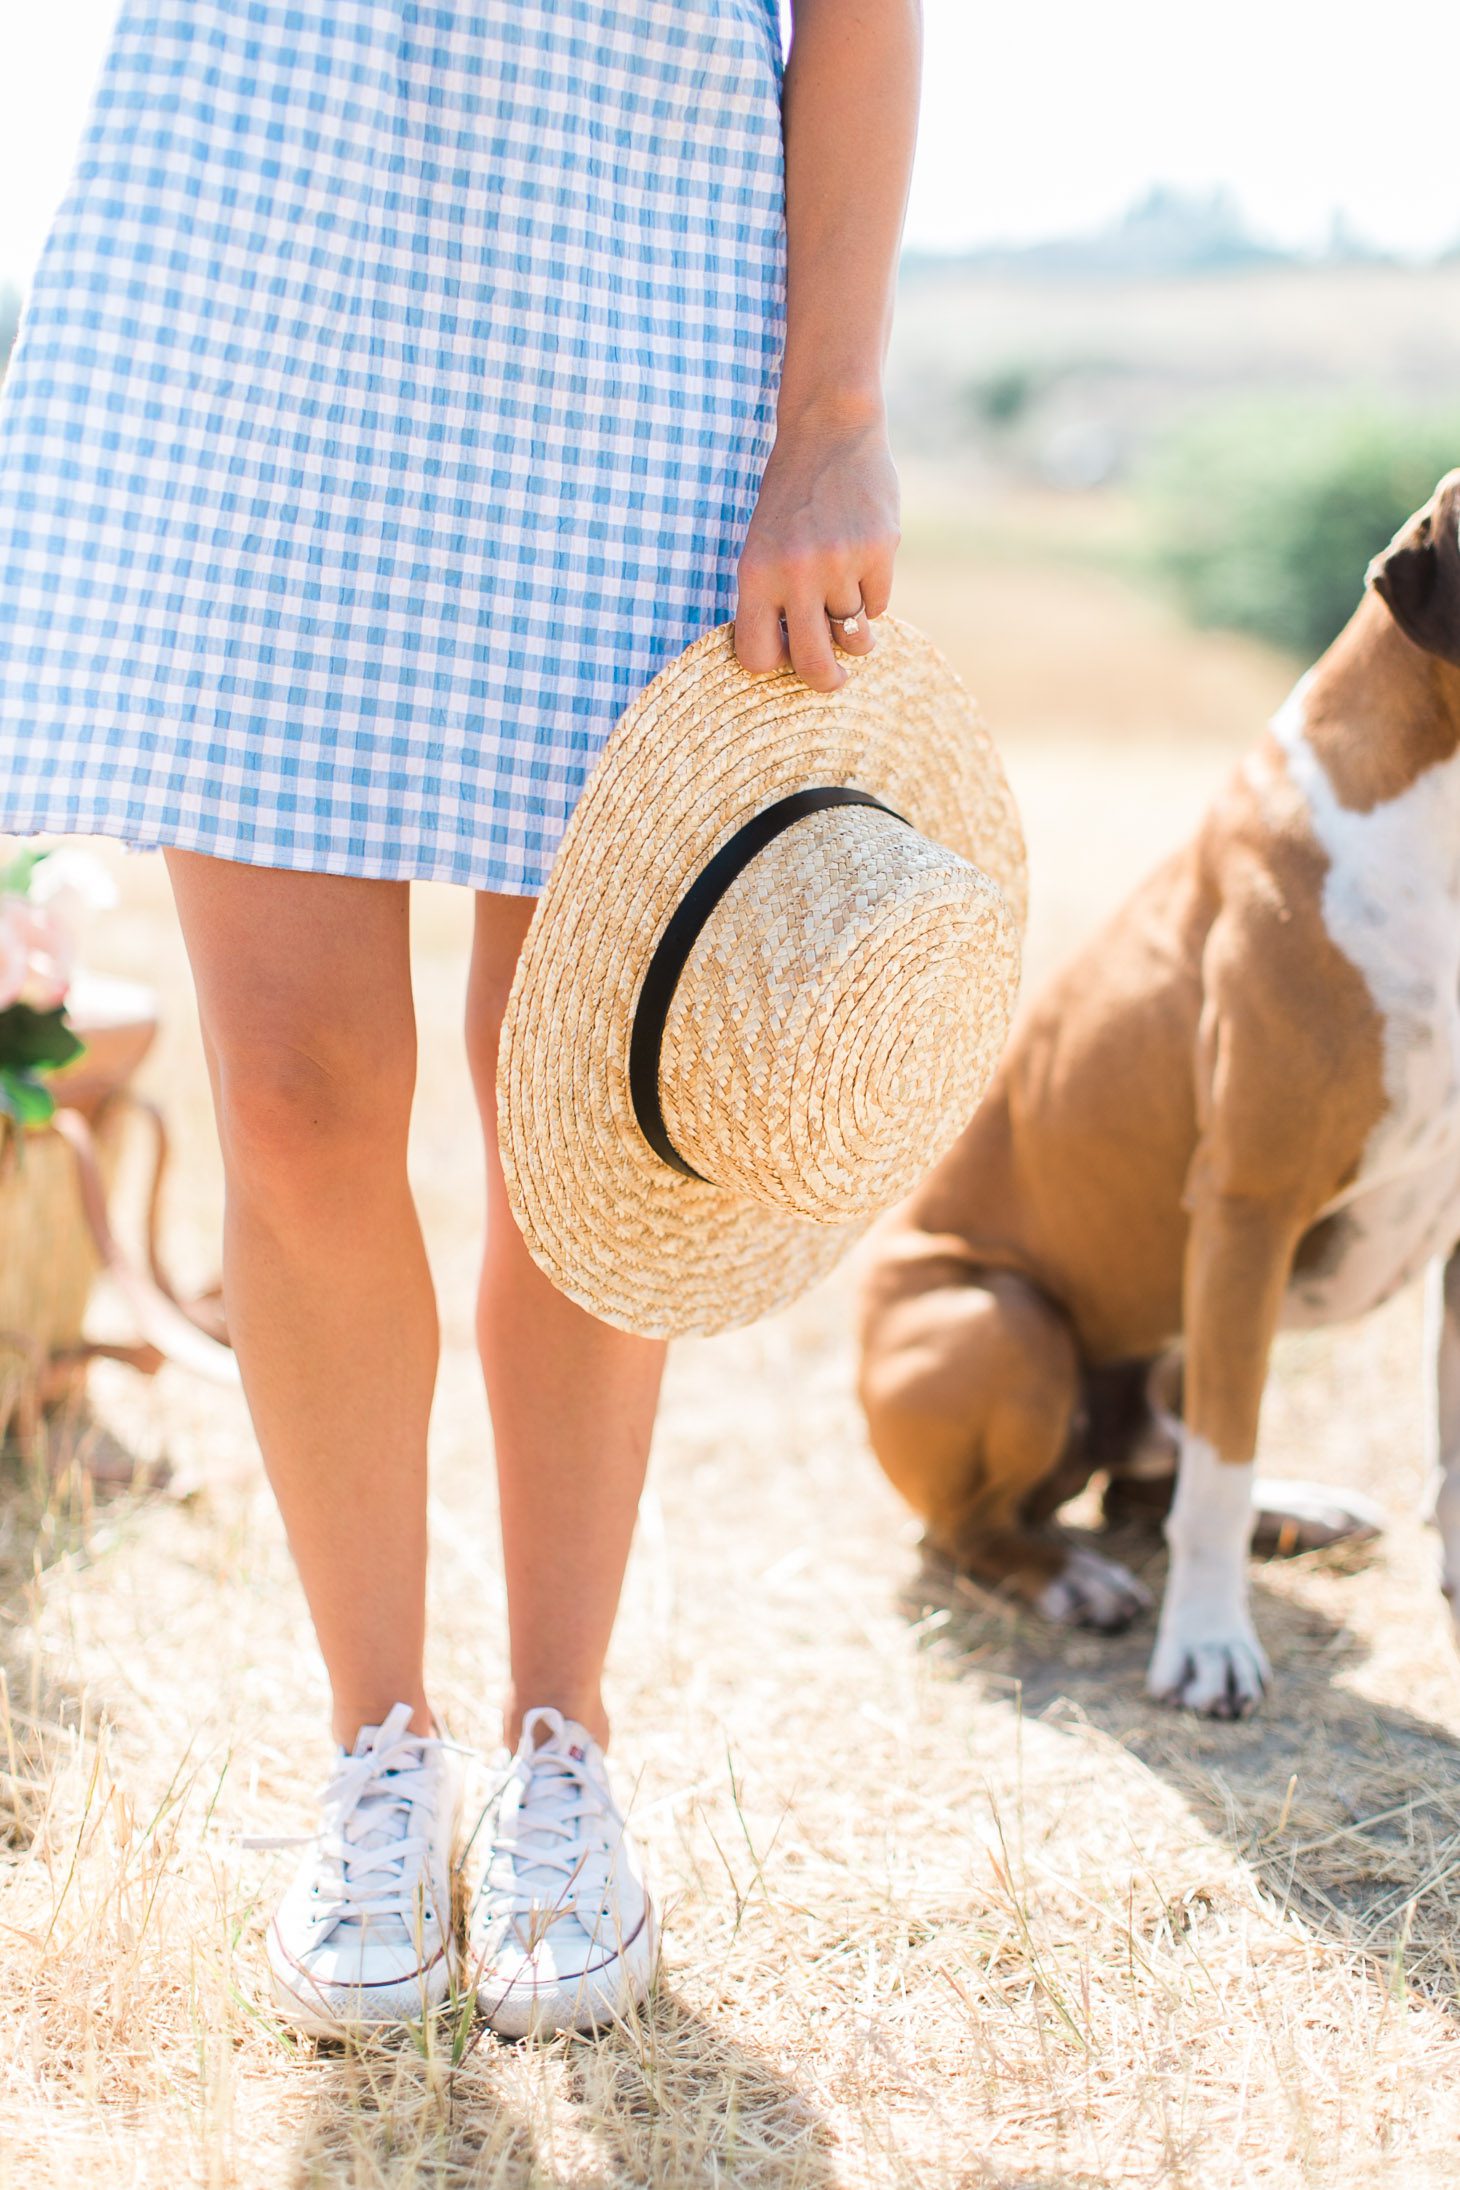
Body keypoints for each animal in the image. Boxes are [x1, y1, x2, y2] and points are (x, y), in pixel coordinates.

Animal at [862, 475, 1460, 1708]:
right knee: (981, 1529)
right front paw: (1208, 1643)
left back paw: (1296, 1509)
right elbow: (1219, 1474)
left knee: (1150, 1484)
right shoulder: (1247, 1210)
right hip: (1005, 1324)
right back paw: (1070, 1581)